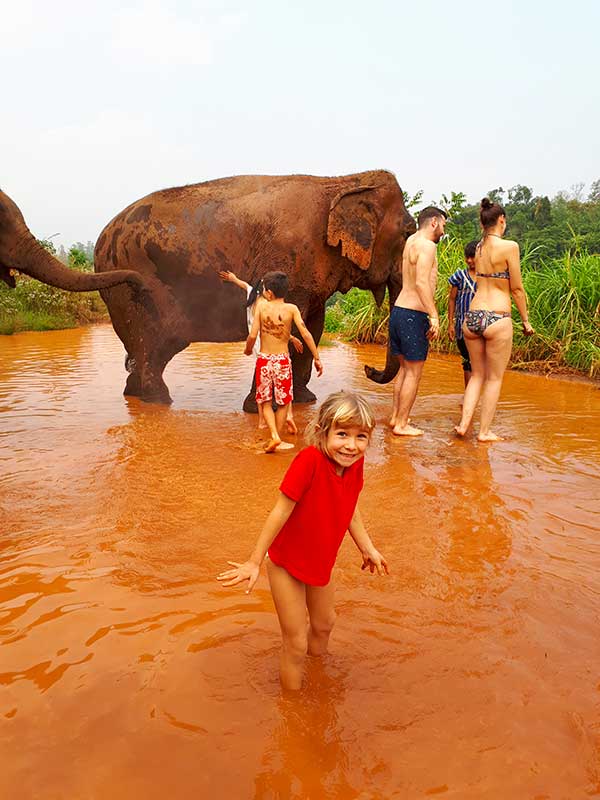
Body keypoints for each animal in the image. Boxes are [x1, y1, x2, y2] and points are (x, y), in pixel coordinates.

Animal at [96, 170, 414, 406]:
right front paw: (263, 406)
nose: (369, 369)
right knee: (155, 342)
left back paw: (135, 393)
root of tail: (101, 239)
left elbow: (312, 326)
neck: (344, 181)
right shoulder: (290, 262)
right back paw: (159, 401)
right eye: (408, 232)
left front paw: (305, 401)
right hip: (132, 287)